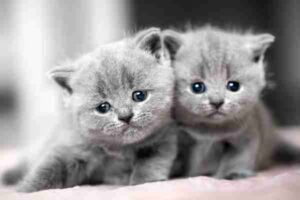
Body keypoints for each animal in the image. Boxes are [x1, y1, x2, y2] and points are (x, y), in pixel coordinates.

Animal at [2, 27, 178, 191]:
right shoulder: (72, 144)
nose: (125, 115)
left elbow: (152, 161)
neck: (121, 149)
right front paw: (24, 190)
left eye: (139, 95)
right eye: (103, 107)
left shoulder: (164, 138)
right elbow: (48, 167)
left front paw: (143, 181)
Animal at [164, 26, 300, 180]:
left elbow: (239, 157)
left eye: (233, 86)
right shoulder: (181, 137)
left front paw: (233, 174)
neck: (209, 131)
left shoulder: (246, 134)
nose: (217, 102)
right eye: (197, 87)